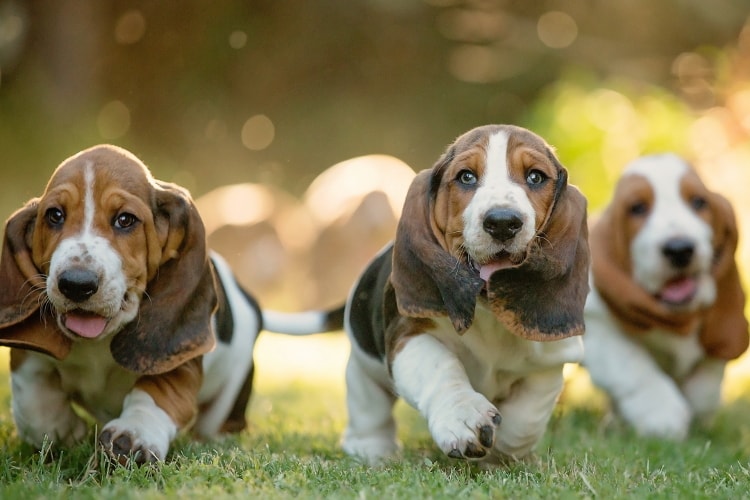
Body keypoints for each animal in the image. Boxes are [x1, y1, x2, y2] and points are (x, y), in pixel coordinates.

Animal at [0, 145, 328, 464]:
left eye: (125, 220)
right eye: (54, 215)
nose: (76, 284)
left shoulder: (179, 360)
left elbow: (155, 394)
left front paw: (134, 435)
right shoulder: (29, 360)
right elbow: (32, 400)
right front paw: (62, 431)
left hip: (230, 392)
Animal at [314, 124, 592, 464]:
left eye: (536, 177)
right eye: (466, 177)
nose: (502, 222)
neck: (488, 310)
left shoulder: (550, 363)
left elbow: (527, 417)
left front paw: (502, 451)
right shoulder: (410, 335)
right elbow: (442, 369)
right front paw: (464, 417)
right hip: (363, 367)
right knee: (368, 406)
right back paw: (372, 449)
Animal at [588, 154, 750, 440]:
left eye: (698, 202)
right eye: (637, 208)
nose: (680, 249)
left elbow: (707, 382)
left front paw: (697, 409)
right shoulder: (596, 330)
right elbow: (633, 365)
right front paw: (662, 416)